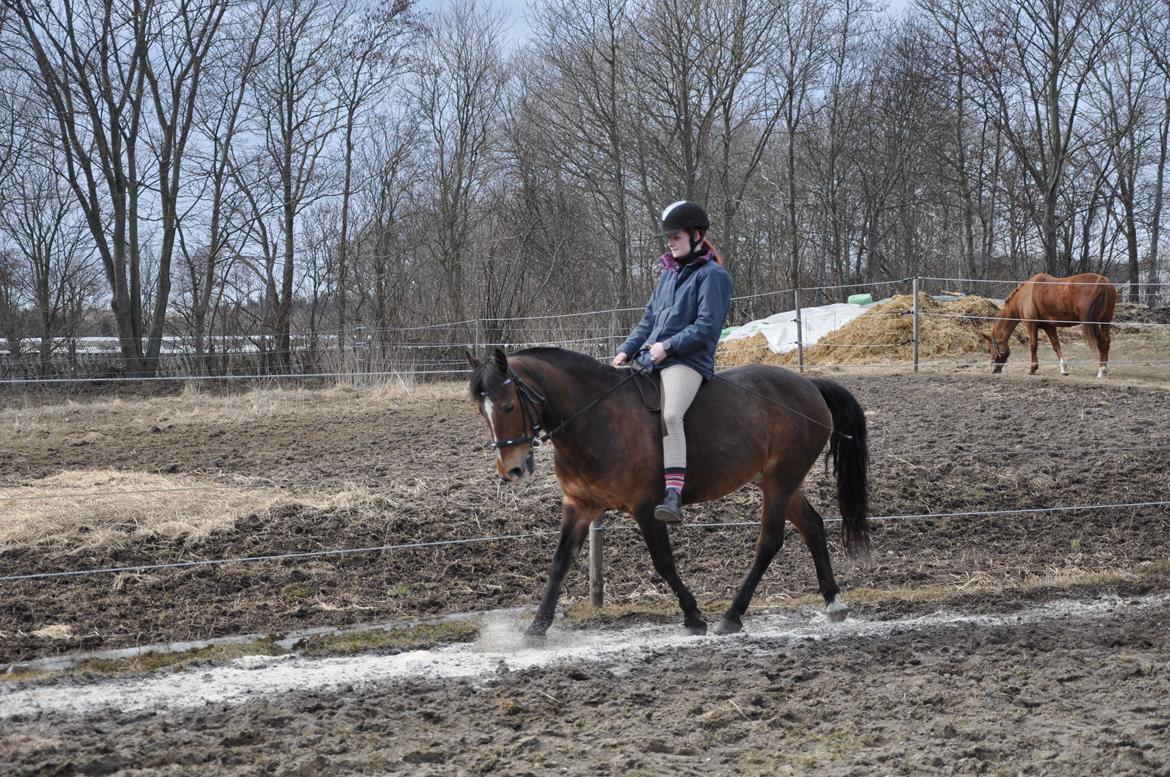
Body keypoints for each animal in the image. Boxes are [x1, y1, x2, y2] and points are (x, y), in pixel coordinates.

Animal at [467, 346, 870, 636]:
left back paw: (731, 616)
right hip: (779, 482)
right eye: (481, 411)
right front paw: (536, 628)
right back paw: (834, 603)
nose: (512, 469)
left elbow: (663, 561)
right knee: (813, 526)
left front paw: (693, 617)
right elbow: (559, 563)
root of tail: (809, 385)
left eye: (508, 405)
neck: (595, 420)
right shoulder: (579, 505)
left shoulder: (646, 507)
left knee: (769, 542)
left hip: (780, 481)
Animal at [982, 272, 1118, 379]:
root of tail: (1102, 280)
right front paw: (1064, 370)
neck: (1025, 294)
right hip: (1105, 321)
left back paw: (1101, 371)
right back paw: (1105, 370)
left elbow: (1033, 346)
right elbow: (1056, 345)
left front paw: (1032, 369)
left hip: (1094, 323)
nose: (994, 369)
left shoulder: (1031, 325)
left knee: (1102, 342)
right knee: (1107, 342)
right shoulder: (1049, 326)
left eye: (989, 349)